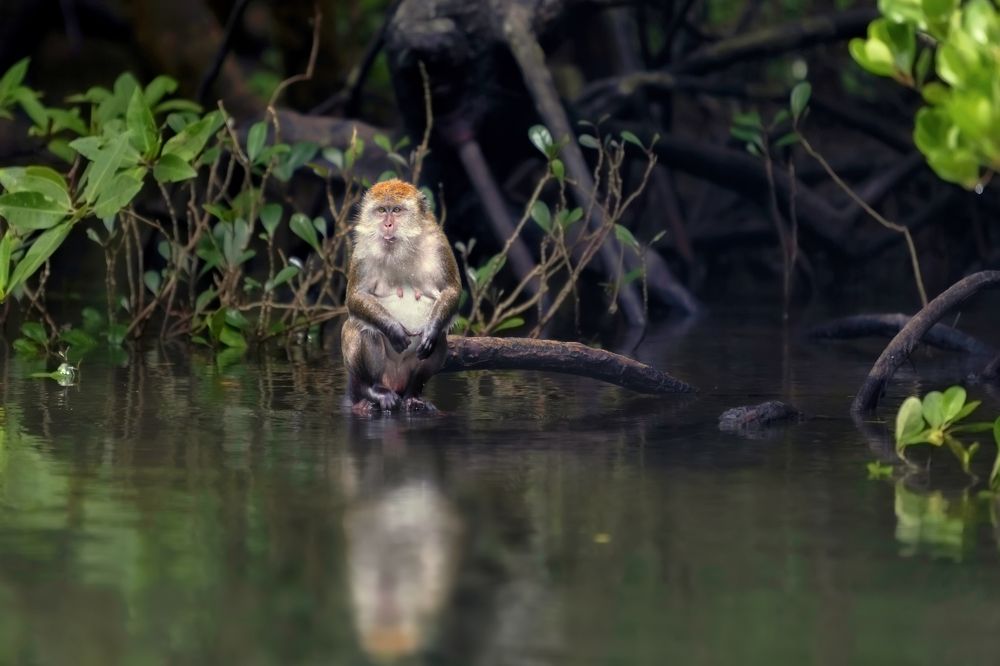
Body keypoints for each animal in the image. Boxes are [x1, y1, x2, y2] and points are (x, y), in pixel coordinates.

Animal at [341, 179, 461, 414]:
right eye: (381, 210)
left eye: (396, 210)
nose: (387, 225)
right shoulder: (362, 249)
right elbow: (355, 296)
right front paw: (393, 329)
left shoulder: (438, 242)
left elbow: (451, 290)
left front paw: (431, 330)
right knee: (363, 330)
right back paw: (372, 390)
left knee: (439, 341)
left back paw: (413, 394)